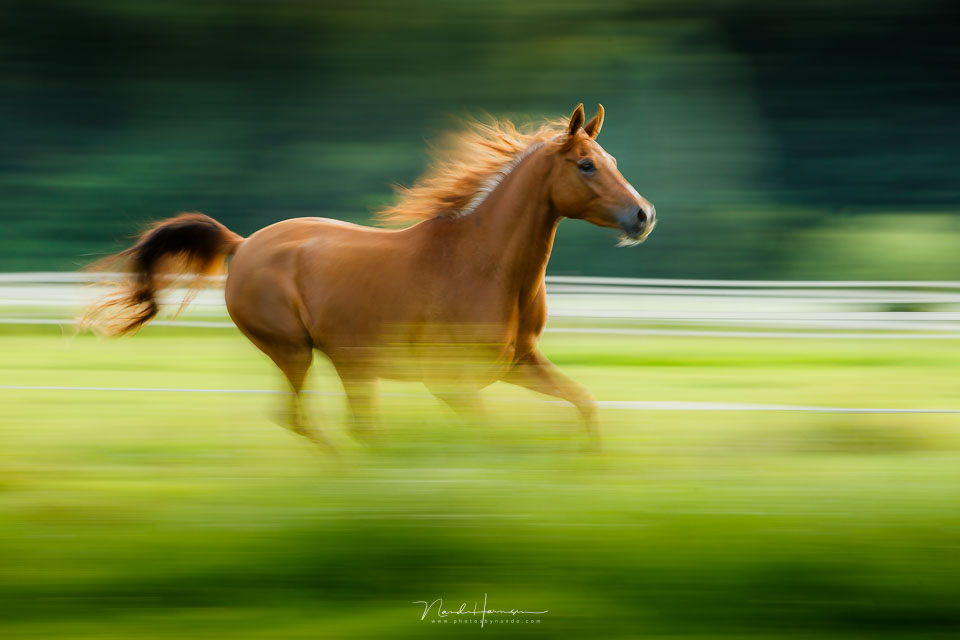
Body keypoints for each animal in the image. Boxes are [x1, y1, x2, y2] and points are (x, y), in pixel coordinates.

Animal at [86, 104, 656, 450]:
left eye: (611, 158)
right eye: (585, 164)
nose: (643, 215)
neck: (484, 265)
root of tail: (242, 244)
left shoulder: (519, 364)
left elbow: (585, 405)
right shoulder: (449, 382)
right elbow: (490, 436)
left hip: (353, 364)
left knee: (353, 426)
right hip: (295, 351)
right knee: (310, 422)